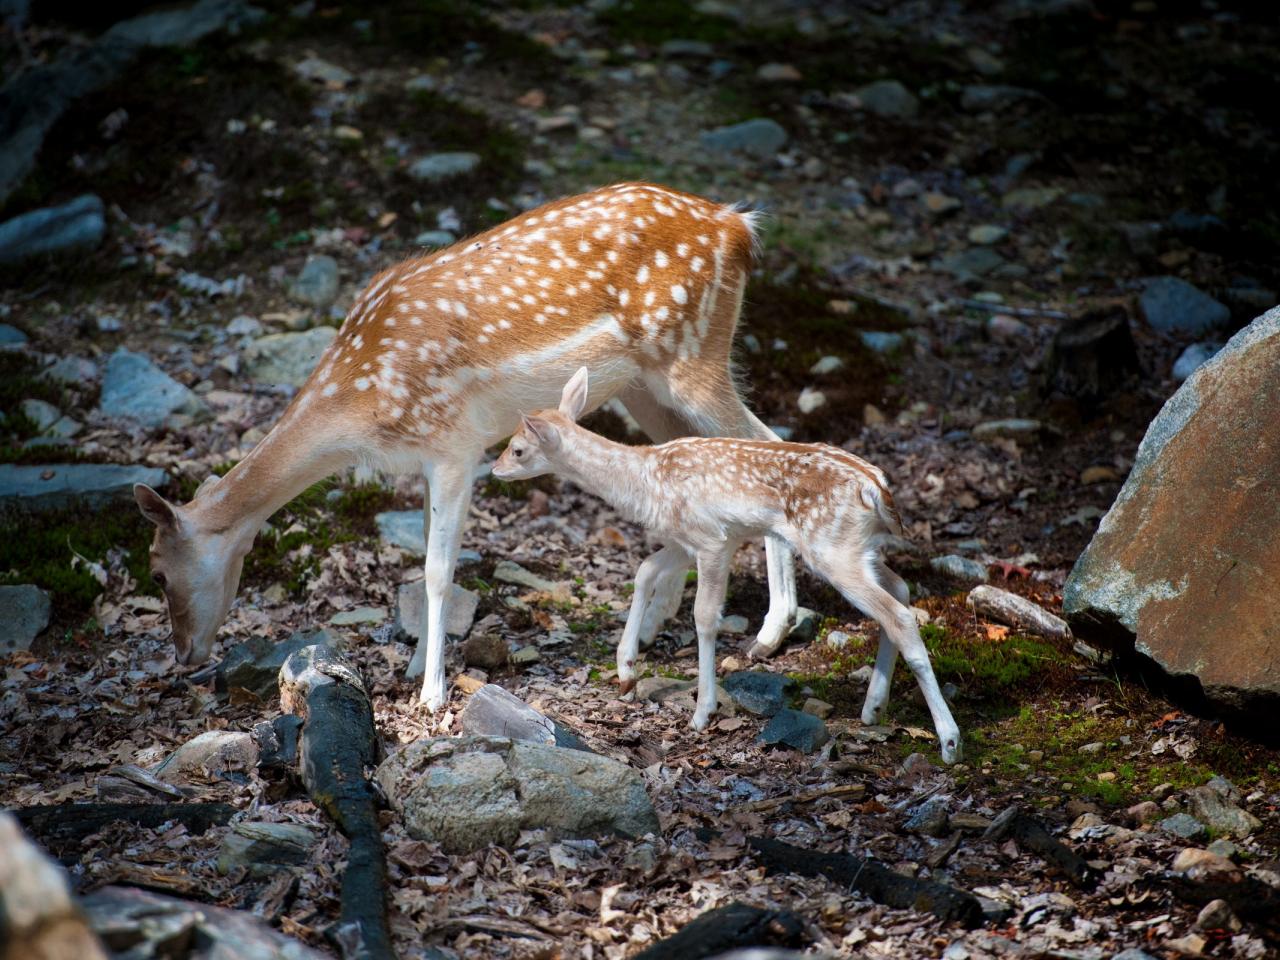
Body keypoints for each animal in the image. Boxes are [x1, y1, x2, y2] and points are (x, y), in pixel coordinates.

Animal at [142, 184, 798, 706]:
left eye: (156, 572)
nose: (184, 656)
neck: (363, 399)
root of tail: (739, 226)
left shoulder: (456, 444)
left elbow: (437, 571)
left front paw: (432, 693)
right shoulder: (428, 459)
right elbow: (422, 565)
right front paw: (413, 668)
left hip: (694, 354)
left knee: (767, 440)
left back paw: (772, 629)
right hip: (644, 386)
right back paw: (656, 630)